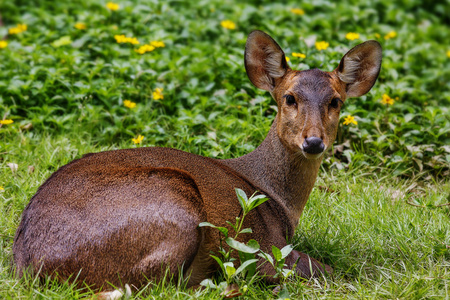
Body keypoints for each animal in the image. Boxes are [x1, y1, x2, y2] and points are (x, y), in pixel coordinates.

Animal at [12, 31, 382, 292]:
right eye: (289, 98)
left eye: (335, 101)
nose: (314, 141)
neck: (276, 196)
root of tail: (30, 266)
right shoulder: (267, 250)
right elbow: (332, 272)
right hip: (174, 201)